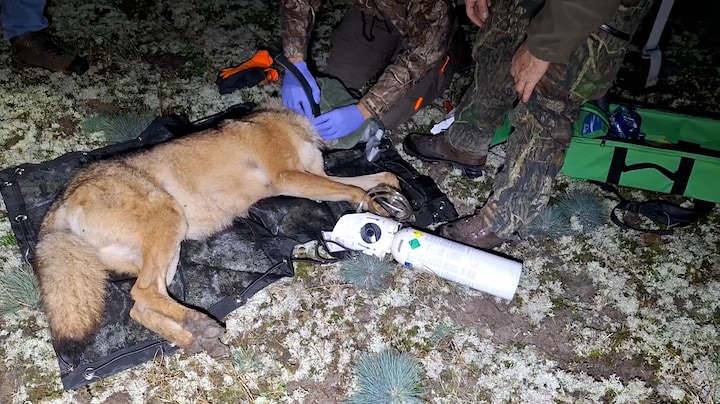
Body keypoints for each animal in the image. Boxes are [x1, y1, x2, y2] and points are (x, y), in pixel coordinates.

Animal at [35, 100, 400, 359]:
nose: (383, 130)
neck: (293, 123)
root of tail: (62, 198)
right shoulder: (291, 178)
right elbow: (355, 192)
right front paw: (380, 214)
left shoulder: (317, 178)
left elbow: (381, 178)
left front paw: (392, 200)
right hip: (168, 223)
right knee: (142, 294)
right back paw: (199, 325)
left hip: (169, 253)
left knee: (141, 306)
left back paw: (196, 338)